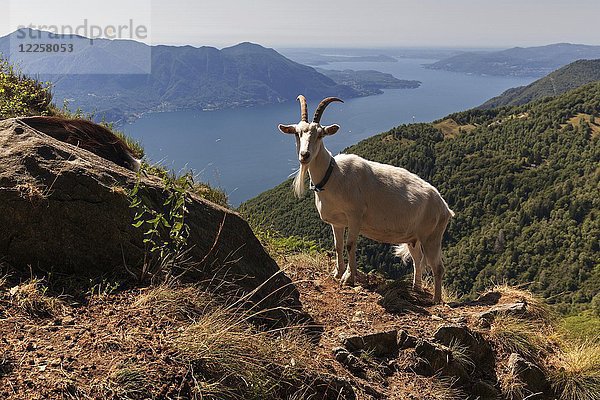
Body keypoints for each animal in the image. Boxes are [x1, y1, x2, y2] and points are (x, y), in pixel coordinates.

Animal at [278, 96, 452, 304]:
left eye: (320, 135)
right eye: (297, 133)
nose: (305, 155)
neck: (333, 175)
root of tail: (445, 208)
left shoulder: (355, 216)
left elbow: (350, 245)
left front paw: (349, 278)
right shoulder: (337, 222)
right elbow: (338, 245)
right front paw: (337, 273)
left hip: (432, 235)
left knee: (437, 267)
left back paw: (436, 300)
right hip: (414, 238)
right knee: (418, 260)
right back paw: (416, 289)